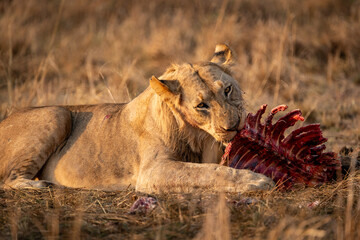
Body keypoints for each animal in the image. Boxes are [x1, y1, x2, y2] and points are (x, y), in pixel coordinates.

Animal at [0, 43, 274, 193]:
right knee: (7, 180)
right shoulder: (152, 172)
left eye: (227, 90)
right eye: (201, 105)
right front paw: (257, 180)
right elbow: (206, 172)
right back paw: (43, 185)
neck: (197, 133)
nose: (234, 126)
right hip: (57, 113)